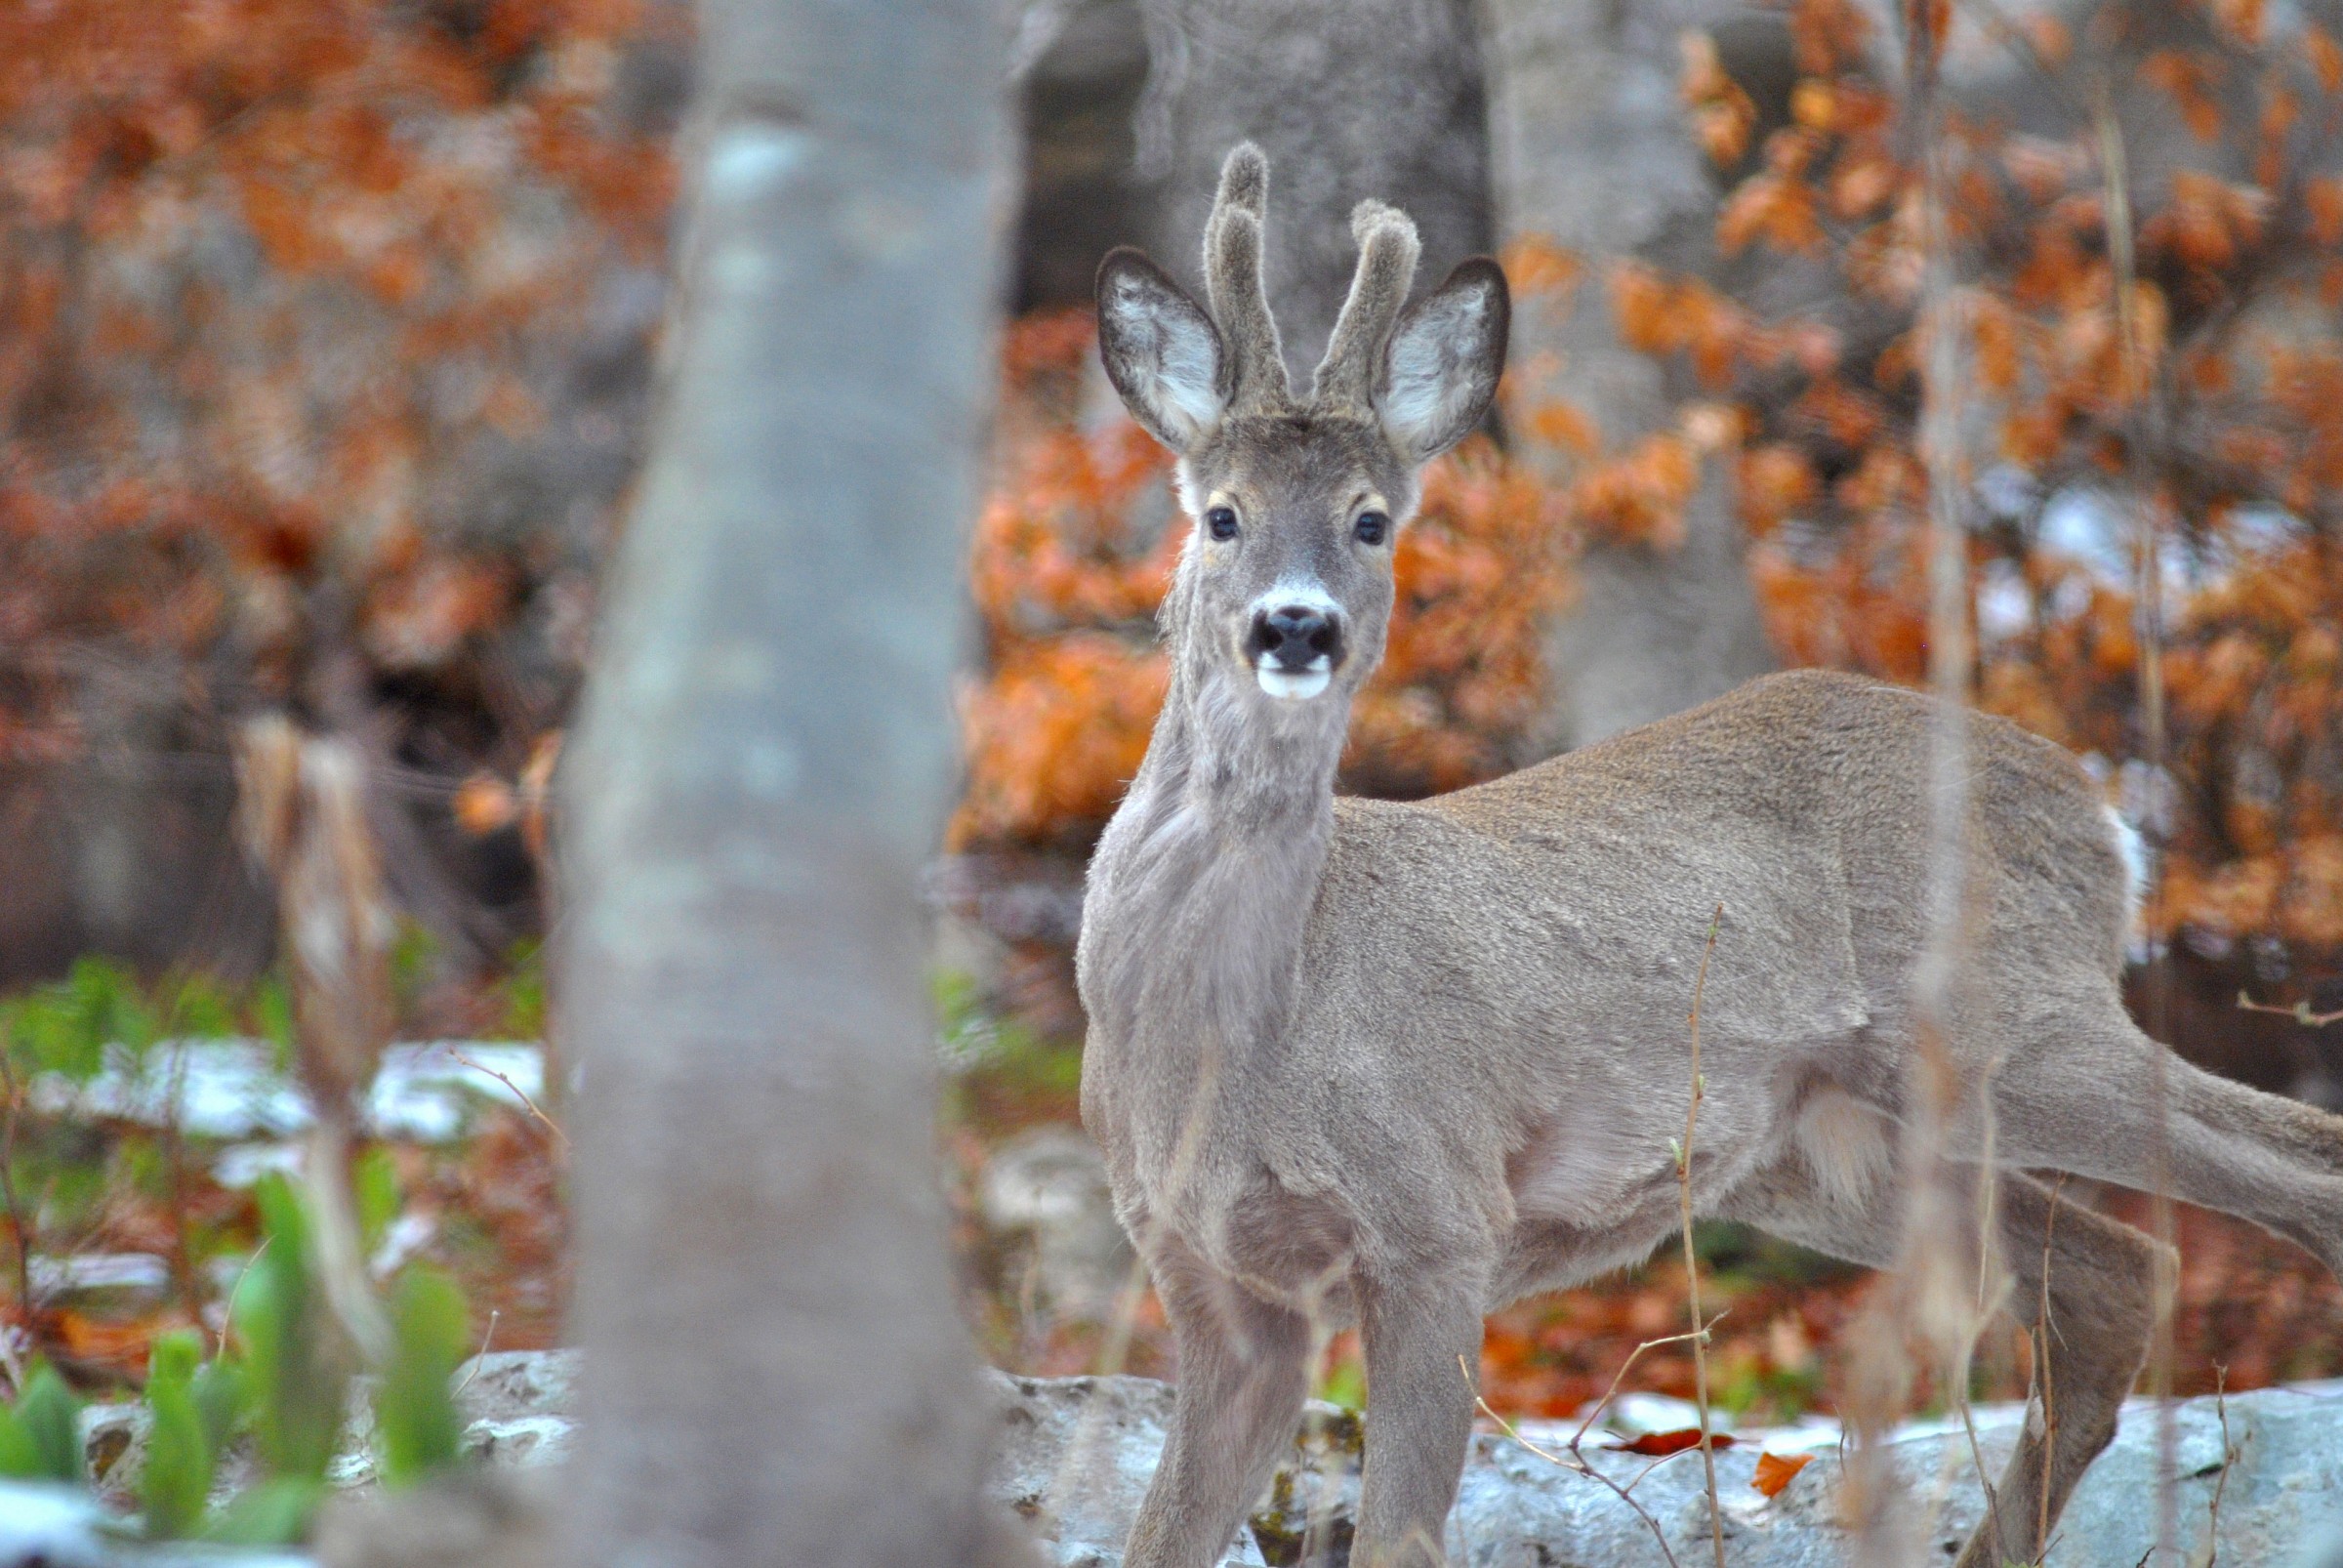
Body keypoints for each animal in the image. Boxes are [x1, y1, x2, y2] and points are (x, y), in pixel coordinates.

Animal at [1073, 143, 2343, 1568]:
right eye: (1221, 515)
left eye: (1371, 520)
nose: (1297, 629)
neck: (1228, 1029)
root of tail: (2100, 808)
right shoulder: (1215, 1282)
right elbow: (1157, 1538)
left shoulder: (1438, 1216)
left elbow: (1399, 1536)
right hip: (1843, 1143)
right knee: (2123, 1273)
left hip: (2012, 1017)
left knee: (2299, 1160)